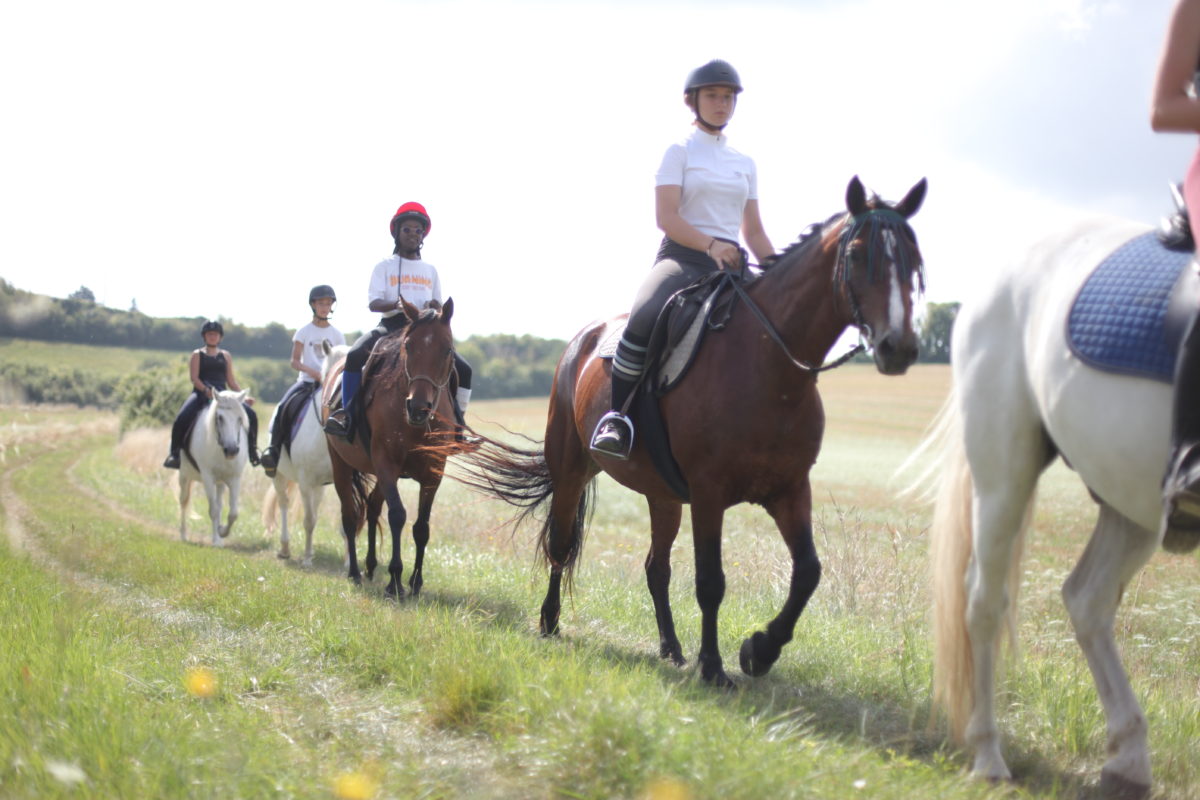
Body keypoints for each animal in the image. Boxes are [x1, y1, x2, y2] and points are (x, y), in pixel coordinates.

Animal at [178, 388, 249, 544]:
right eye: (220, 418)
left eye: (240, 418)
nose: (232, 450)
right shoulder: (208, 478)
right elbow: (214, 510)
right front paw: (217, 538)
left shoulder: (235, 479)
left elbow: (233, 513)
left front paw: (221, 532)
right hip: (184, 476)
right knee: (183, 501)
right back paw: (183, 535)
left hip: (220, 483)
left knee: (219, 504)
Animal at [321, 297, 456, 597]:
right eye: (408, 346)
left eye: (447, 350)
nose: (418, 408)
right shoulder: (386, 464)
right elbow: (397, 516)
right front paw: (395, 580)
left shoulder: (434, 473)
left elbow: (422, 527)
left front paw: (416, 582)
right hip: (340, 464)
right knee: (350, 516)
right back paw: (355, 572)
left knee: (372, 507)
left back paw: (371, 566)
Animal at [451, 176, 926, 690]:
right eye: (857, 255)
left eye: (914, 260)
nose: (898, 347)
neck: (770, 367)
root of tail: (582, 339)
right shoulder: (709, 492)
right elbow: (711, 581)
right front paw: (715, 667)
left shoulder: (789, 489)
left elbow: (808, 573)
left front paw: (758, 651)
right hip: (572, 467)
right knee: (561, 544)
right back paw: (551, 622)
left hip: (663, 496)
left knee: (655, 567)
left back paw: (671, 648)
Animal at [916, 215, 1190, 796]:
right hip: (1004, 478)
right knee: (984, 602)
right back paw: (988, 753)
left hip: (1128, 503)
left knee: (1088, 599)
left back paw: (1128, 760)